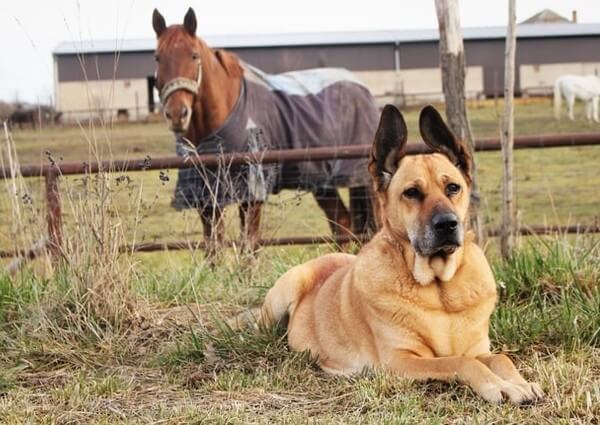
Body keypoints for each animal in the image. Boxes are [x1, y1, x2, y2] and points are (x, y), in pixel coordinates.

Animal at [152, 8, 378, 256]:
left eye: (194, 56)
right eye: (157, 57)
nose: (176, 114)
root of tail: (362, 89)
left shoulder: (251, 194)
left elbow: (248, 247)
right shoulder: (206, 196)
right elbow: (213, 248)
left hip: (365, 182)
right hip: (323, 183)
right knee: (342, 223)